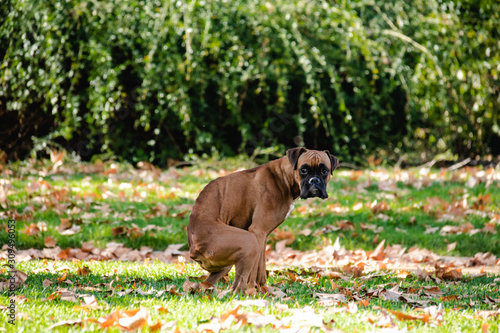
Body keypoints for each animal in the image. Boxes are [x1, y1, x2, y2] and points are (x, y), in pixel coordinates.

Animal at [188, 148, 340, 290]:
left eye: (325, 171)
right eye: (303, 170)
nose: (314, 180)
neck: (284, 177)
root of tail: (194, 250)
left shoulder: (263, 235)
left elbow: (261, 266)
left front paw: (263, 288)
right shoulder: (257, 231)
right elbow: (255, 270)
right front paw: (253, 290)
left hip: (226, 263)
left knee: (207, 283)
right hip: (249, 241)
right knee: (237, 285)